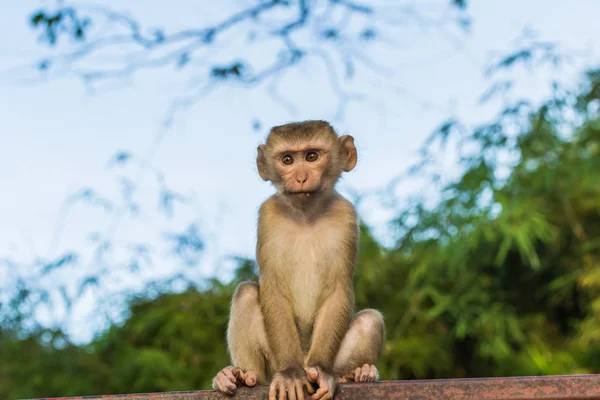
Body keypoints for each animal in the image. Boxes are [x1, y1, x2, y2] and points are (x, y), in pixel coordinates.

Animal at [213, 120, 386, 400]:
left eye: (312, 156)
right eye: (287, 160)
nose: (301, 178)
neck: (306, 216)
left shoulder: (346, 216)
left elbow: (337, 289)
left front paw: (323, 371)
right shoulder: (269, 216)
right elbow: (272, 287)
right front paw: (291, 373)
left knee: (370, 320)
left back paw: (356, 373)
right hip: (271, 364)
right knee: (246, 293)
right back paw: (241, 377)